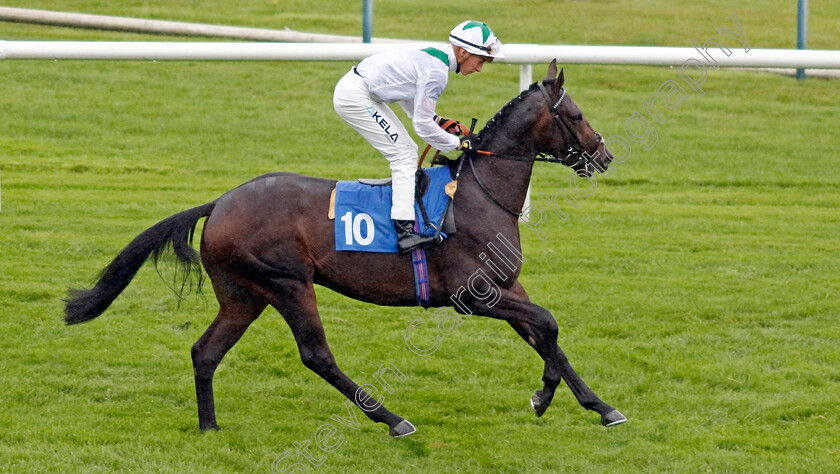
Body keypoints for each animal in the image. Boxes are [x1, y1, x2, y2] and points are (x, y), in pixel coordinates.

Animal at [65, 61, 628, 436]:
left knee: (205, 351)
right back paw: (392, 419)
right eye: (577, 114)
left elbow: (544, 334)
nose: (603, 155)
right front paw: (551, 397)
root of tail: (220, 202)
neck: (479, 194)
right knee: (316, 354)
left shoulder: (505, 286)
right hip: (287, 282)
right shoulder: (472, 295)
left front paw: (586, 403)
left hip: (243, 295)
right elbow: (547, 324)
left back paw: (210, 427)